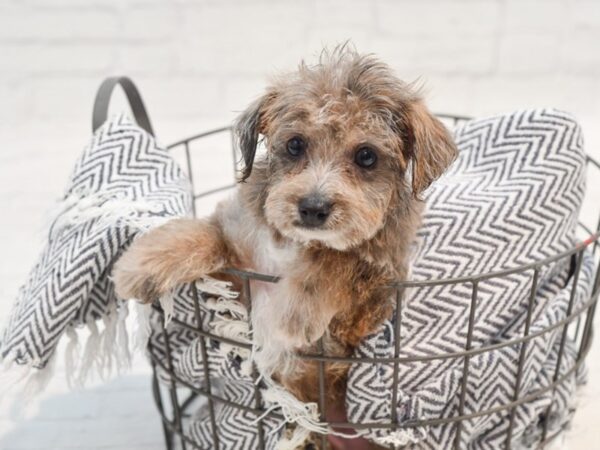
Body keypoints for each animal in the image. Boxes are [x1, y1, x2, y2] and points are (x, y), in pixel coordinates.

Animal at [113, 47, 454, 448]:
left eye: (366, 156)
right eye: (295, 145)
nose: (313, 208)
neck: (296, 244)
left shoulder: (363, 313)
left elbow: (341, 259)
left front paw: (296, 308)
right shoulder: (237, 270)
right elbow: (205, 234)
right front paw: (141, 264)